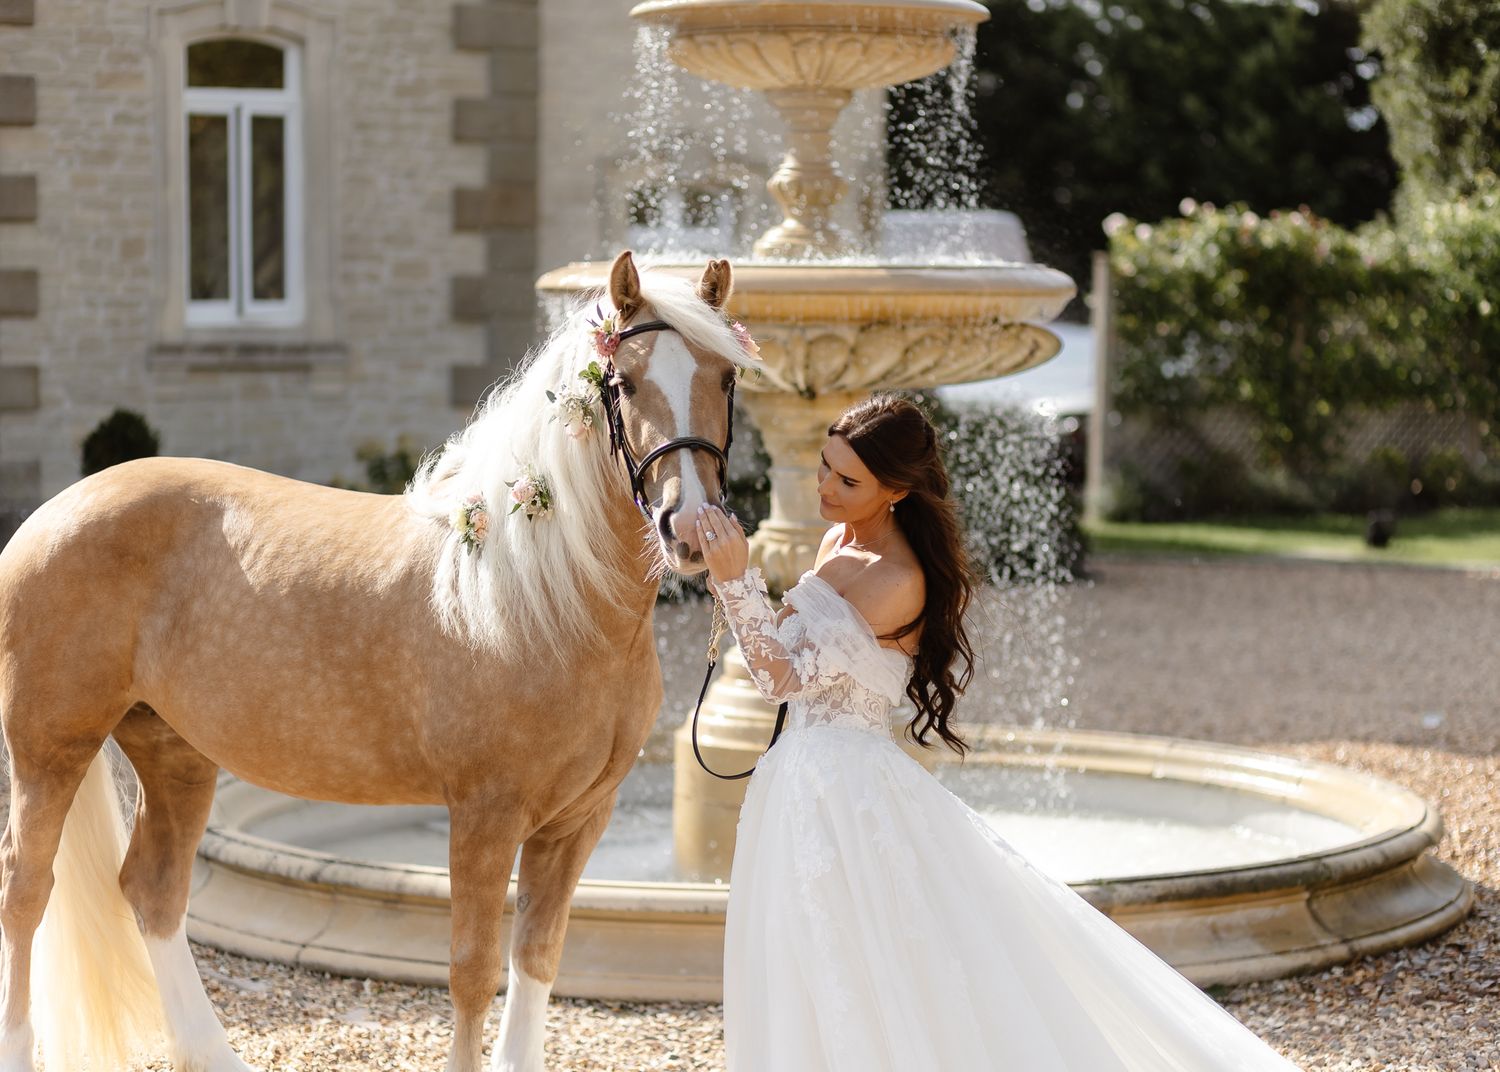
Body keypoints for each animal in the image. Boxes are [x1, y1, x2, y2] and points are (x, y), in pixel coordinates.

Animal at [0, 250, 752, 1072]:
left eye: (724, 377)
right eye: (626, 383)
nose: (692, 527)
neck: (542, 594)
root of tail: (48, 516)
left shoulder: (578, 820)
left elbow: (537, 959)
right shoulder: (486, 814)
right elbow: (472, 971)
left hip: (175, 752)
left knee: (152, 891)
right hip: (51, 751)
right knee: (26, 890)